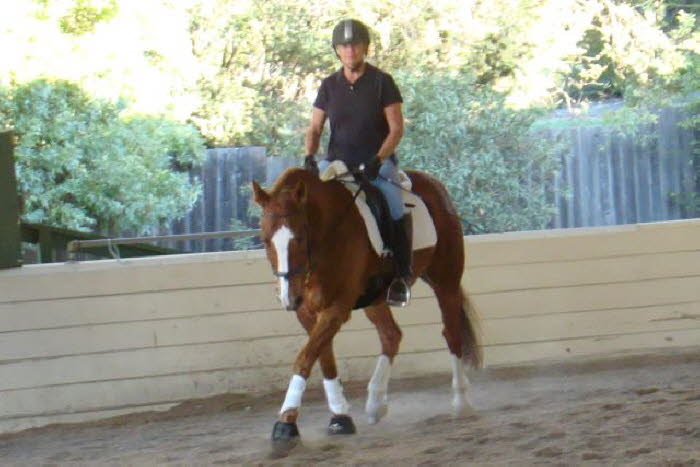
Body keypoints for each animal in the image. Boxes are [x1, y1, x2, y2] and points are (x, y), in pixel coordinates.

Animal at [252, 167, 482, 446]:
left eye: (300, 238)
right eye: (265, 240)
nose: (289, 299)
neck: (326, 235)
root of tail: (432, 183)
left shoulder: (337, 308)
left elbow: (305, 357)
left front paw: (286, 422)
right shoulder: (307, 312)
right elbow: (323, 356)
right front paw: (339, 415)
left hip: (446, 280)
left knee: (451, 334)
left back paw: (461, 401)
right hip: (376, 297)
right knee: (391, 335)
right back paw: (375, 403)